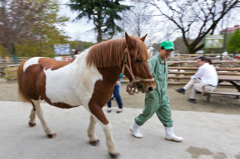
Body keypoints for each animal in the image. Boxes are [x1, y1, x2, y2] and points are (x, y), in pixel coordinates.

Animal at [16, 32, 156, 158]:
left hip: (37, 96)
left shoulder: (96, 104)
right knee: (40, 112)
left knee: (34, 109)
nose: (151, 87)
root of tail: (25, 62)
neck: (96, 74)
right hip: (34, 96)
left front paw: (92, 138)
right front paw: (113, 150)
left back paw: (31, 121)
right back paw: (49, 132)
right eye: (137, 59)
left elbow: (93, 121)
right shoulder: (93, 105)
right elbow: (107, 126)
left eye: (147, 58)